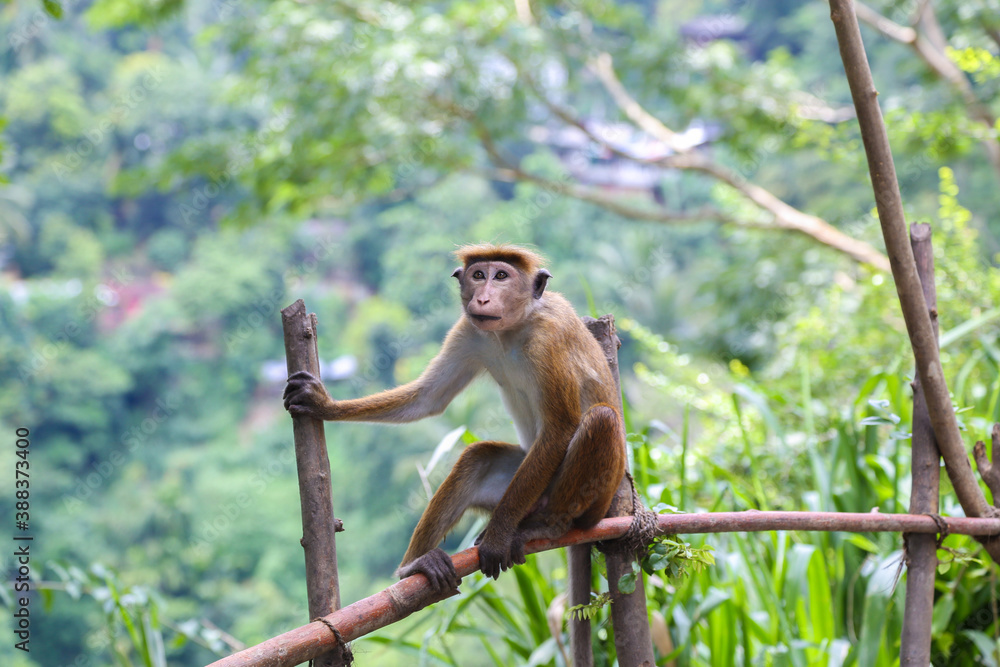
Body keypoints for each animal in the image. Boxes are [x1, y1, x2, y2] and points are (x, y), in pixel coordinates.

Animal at [283, 243, 626, 591]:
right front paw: (323, 404)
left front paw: (497, 538)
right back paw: (415, 566)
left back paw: (547, 527)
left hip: (585, 501)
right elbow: (428, 398)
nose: (482, 298)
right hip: (522, 488)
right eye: (479, 275)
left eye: (501, 276)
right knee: (478, 458)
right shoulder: (469, 330)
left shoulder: (549, 340)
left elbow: (560, 428)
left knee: (600, 419)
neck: (511, 330)